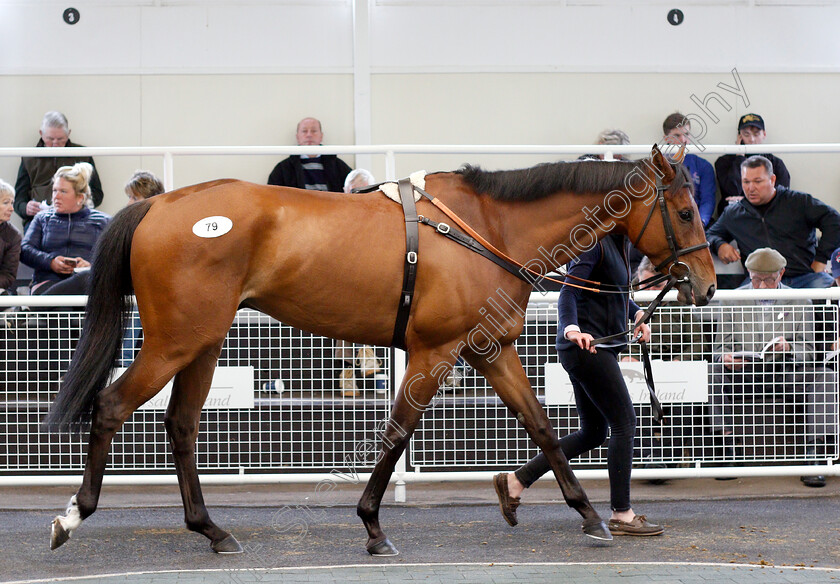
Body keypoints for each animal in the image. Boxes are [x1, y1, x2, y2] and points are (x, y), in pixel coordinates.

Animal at [46, 146, 716, 556]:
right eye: (684, 210)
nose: (706, 285)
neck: (487, 229)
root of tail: (158, 203)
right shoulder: (433, 351)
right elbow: (397, 432)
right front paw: (372, 524)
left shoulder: (491, 350)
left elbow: (545, 430)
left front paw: (591, 516)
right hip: (173, 342)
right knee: (110, 408)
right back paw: (73, 515)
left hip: (202, 344)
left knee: (181, 425)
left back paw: (211, 529)